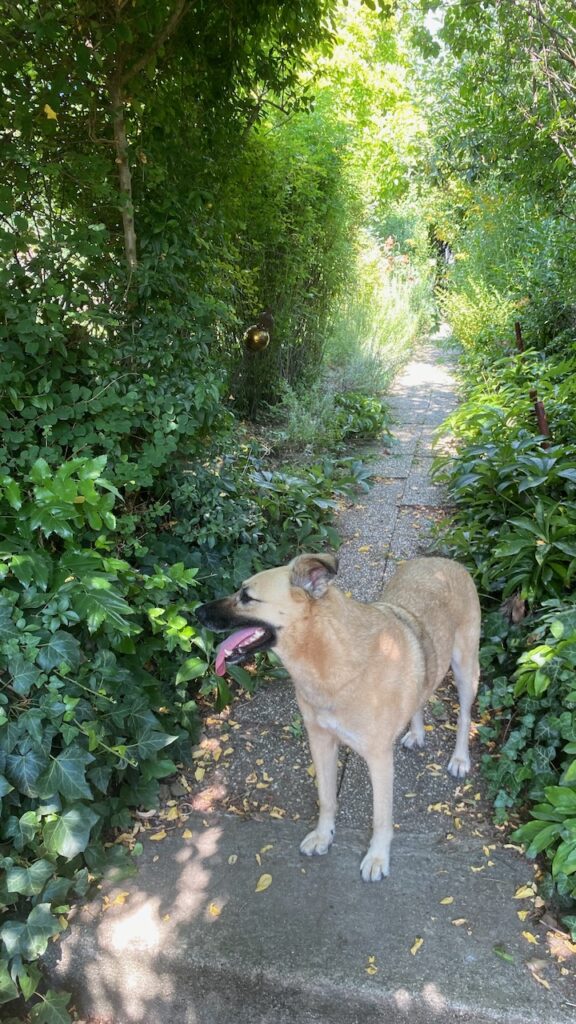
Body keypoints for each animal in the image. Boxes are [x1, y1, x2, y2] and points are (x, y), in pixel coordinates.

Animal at [196, 553, 481, 881]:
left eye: (246, 596)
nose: (196, 612)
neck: (329, 657)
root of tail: (443, 561)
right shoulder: (320, 742)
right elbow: (327, 798)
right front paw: (324, 835)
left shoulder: (380, 759)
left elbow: (381, 816)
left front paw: (378, 856)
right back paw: (417, 732)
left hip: (466, 669)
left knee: (464, 716)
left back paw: (460, 758)